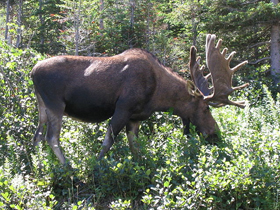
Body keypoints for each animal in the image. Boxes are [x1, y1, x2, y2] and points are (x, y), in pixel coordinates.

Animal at [31, 34, 248, 164]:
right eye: (205, 108)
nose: (216, 134)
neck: (159, 97)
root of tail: (32, 72)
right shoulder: (123, 108)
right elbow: (107, 142)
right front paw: (97, 167)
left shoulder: (135, 117)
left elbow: (135, 147)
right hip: (55, 103)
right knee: (52, 137)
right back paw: (69, 168)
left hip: (42, 105)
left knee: (38, 135)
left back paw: (37, 163)